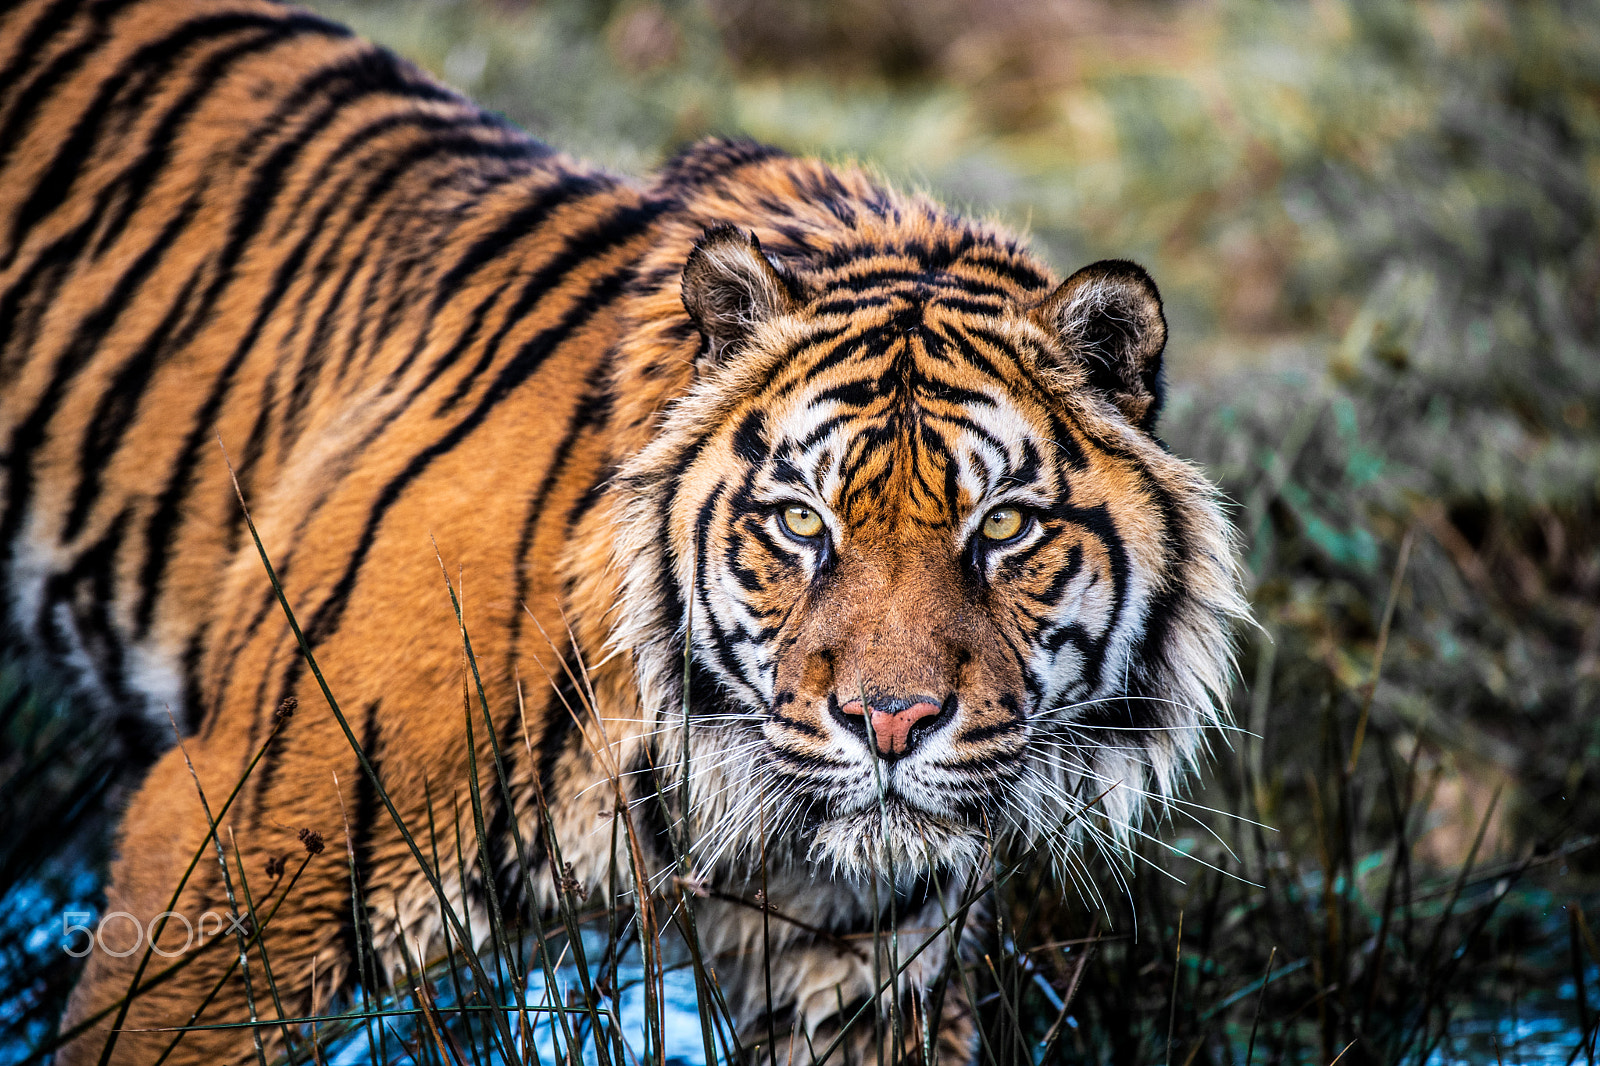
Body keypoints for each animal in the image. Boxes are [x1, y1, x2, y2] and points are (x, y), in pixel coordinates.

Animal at [0, 0, 1248, 1056]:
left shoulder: (856, 969)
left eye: (1003, 528)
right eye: (800, 522)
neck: (694, 771)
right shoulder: (231, 866)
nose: (889, 724)